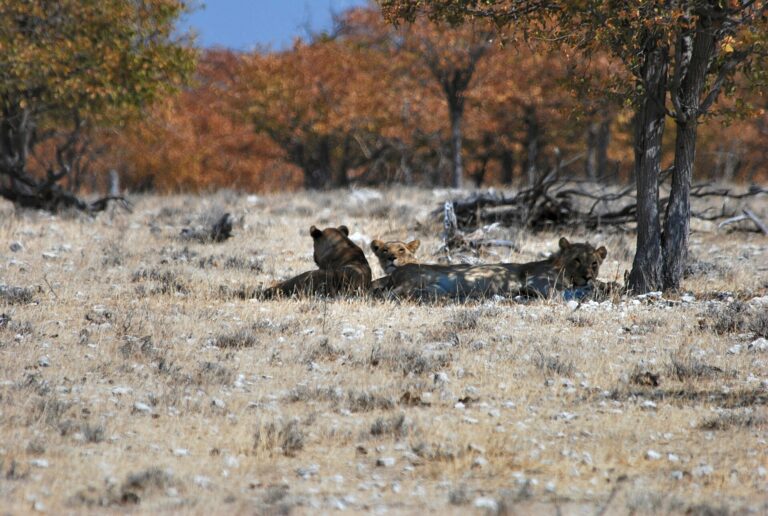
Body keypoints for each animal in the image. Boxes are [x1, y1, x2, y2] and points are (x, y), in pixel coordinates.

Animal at [371, 237, 610, 300]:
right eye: (576, 260)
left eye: (594, 263)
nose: (588, 276)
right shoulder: (537, 282)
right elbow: (561, 292)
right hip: (417, 279)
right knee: (390, 293)